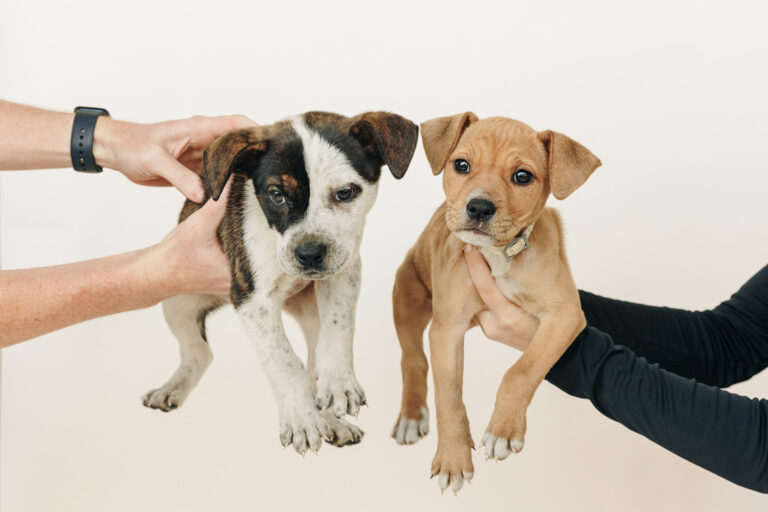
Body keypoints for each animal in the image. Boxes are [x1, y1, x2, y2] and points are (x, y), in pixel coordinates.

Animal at [144, 112, 420, 456]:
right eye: (276, 195)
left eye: (345, 193)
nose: (310, 254)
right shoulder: (252, 299)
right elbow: (284, 360)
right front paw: (301, 418)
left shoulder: (344, 270)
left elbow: (339, 327)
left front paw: (338, 382)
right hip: (176, 303)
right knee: (198, 353)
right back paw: (171, 389)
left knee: (314, 360)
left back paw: (332, 422)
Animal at [392, 113, 604, 492]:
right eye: (461, 165)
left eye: (523, 176)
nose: (478, 206)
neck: (498, 255)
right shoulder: (446, 331)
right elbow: (448, 397)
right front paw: (453, 458)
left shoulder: (565, 315)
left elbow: (521, 371)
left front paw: (503, 431)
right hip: (408, 294)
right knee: (413, 359)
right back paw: (412, 415)